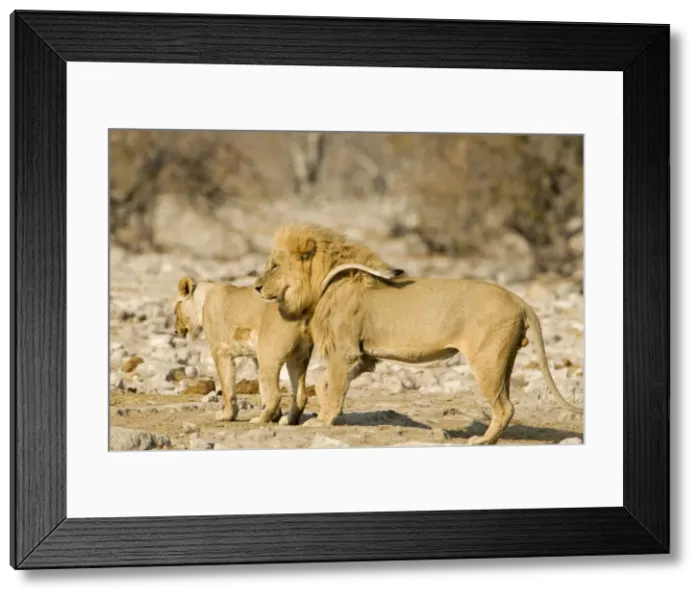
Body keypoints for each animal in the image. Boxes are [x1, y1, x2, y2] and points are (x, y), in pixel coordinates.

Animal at [173, 276, 314, 426]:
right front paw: (275, 416)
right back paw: (287, 420)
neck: (203, 301)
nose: (175, 330)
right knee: (300, 395)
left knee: (275, 395)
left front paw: (227, 415)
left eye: (175, 311)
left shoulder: (220, 352)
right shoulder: (256, 357)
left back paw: (259, 419)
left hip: (269, 355)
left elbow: (227, 387)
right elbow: (261, 389)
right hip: (298, 357)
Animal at [253, 223, 583, 446]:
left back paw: (481, 441)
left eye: (274, 266)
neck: (323, 282)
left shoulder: (344, 352)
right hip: (505, 360)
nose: (256, 287)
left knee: (505, 407)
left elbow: (332, 386)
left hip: (486, 360)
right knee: (506, 402)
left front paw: (322, 421)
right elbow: (324, 383)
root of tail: (519, 299)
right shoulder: (361, 357)